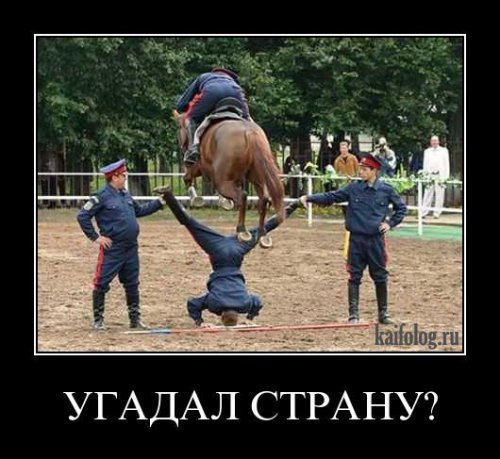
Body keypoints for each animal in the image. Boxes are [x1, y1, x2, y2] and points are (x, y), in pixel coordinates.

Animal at [173, 110, 285, 248]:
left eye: (179, 128)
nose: (181, 146)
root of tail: (249, 133)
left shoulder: (197, 167)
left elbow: (187, 178)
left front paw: (196, 199)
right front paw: (225, 202)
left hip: (223, 181)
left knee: (242, 196)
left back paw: (242, 231)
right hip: (258, 178)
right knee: (264, 199)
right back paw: (263, 235)